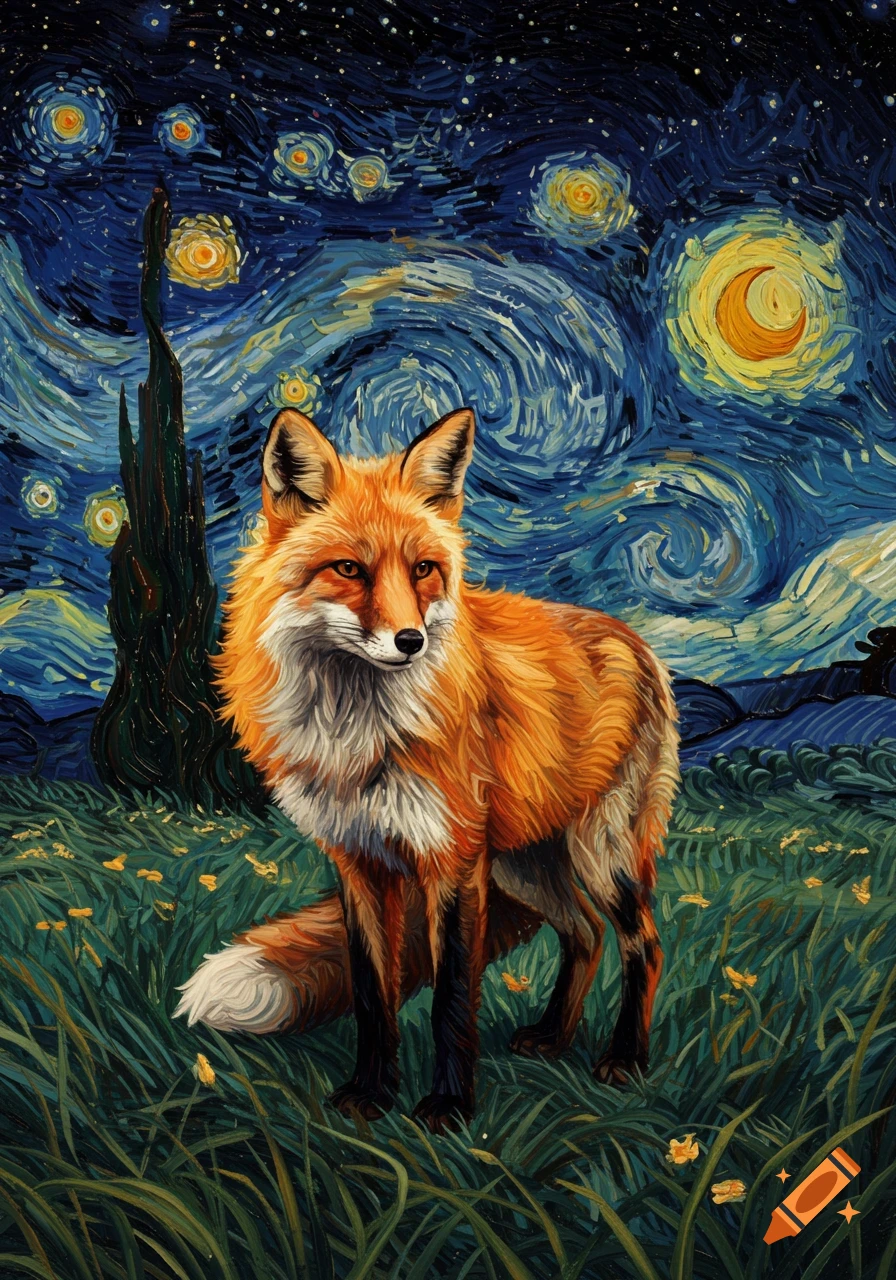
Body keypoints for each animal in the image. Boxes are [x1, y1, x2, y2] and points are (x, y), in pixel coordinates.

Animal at [175, 406, 679, 1133]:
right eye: (349, 569)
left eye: (422, 570)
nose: (410, 641)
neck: (360, 737)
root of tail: (636, 640)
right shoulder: (359, 860)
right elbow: (373, 995)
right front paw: (369, 1095)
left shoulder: (452, 858)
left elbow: (452, 997)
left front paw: (448, 1108)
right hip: (525, 864)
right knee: (584, 934)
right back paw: (552, 1037)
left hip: (595, 851)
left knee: (644, 943)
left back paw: (625, 1060)